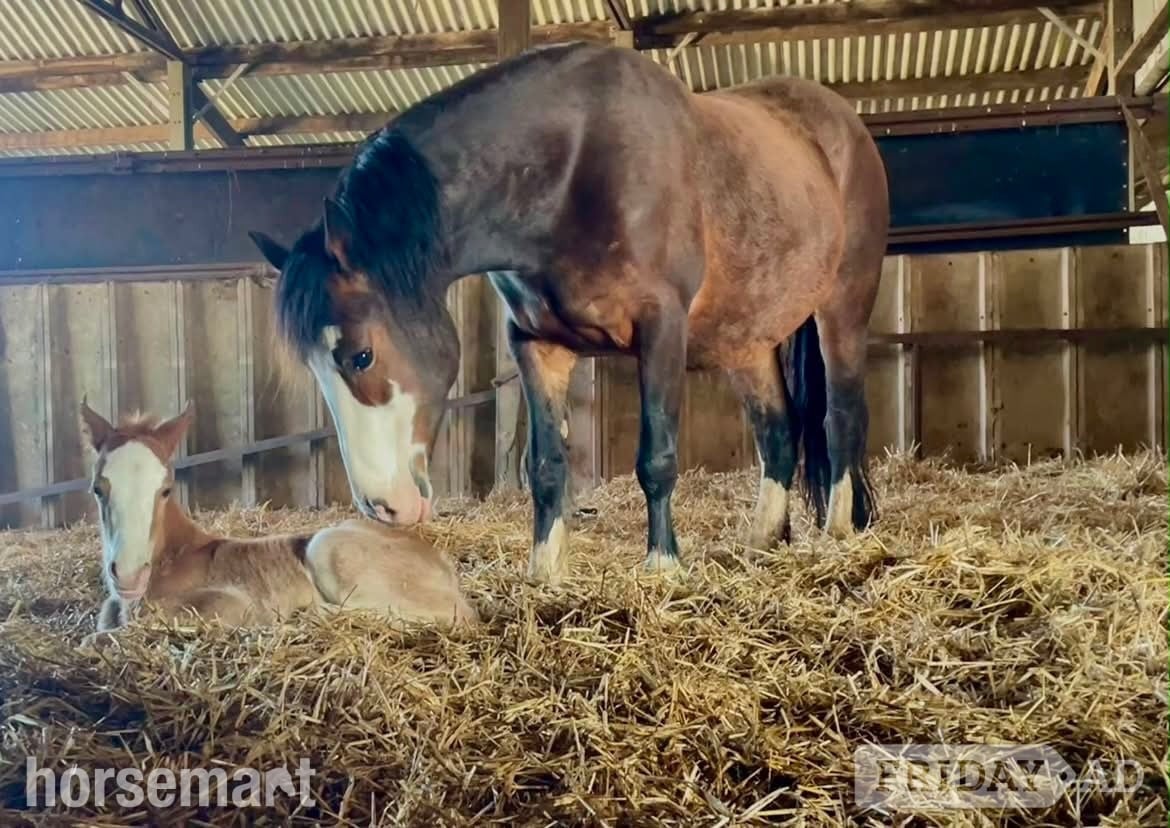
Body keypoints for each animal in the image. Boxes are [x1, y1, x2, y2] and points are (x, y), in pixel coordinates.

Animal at [79, 400, 479, 633]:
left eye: (165, 490)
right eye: (97, 489)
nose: (129, 574)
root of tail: (440, 560)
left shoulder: (231, 604)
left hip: (327, 545)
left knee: (456, 613)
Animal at [248, 41, 888, 586]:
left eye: (361, 355)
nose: (384, 507)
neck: (572, 167)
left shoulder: (662, 327)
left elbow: (657, 455)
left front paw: (662, 567)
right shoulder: (536, 343)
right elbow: (547, 466)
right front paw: (545, 571)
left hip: (842, 310)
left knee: (841, 419)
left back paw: (836, 534)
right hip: (747, 339)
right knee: (778, 431)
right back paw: (761, 540)